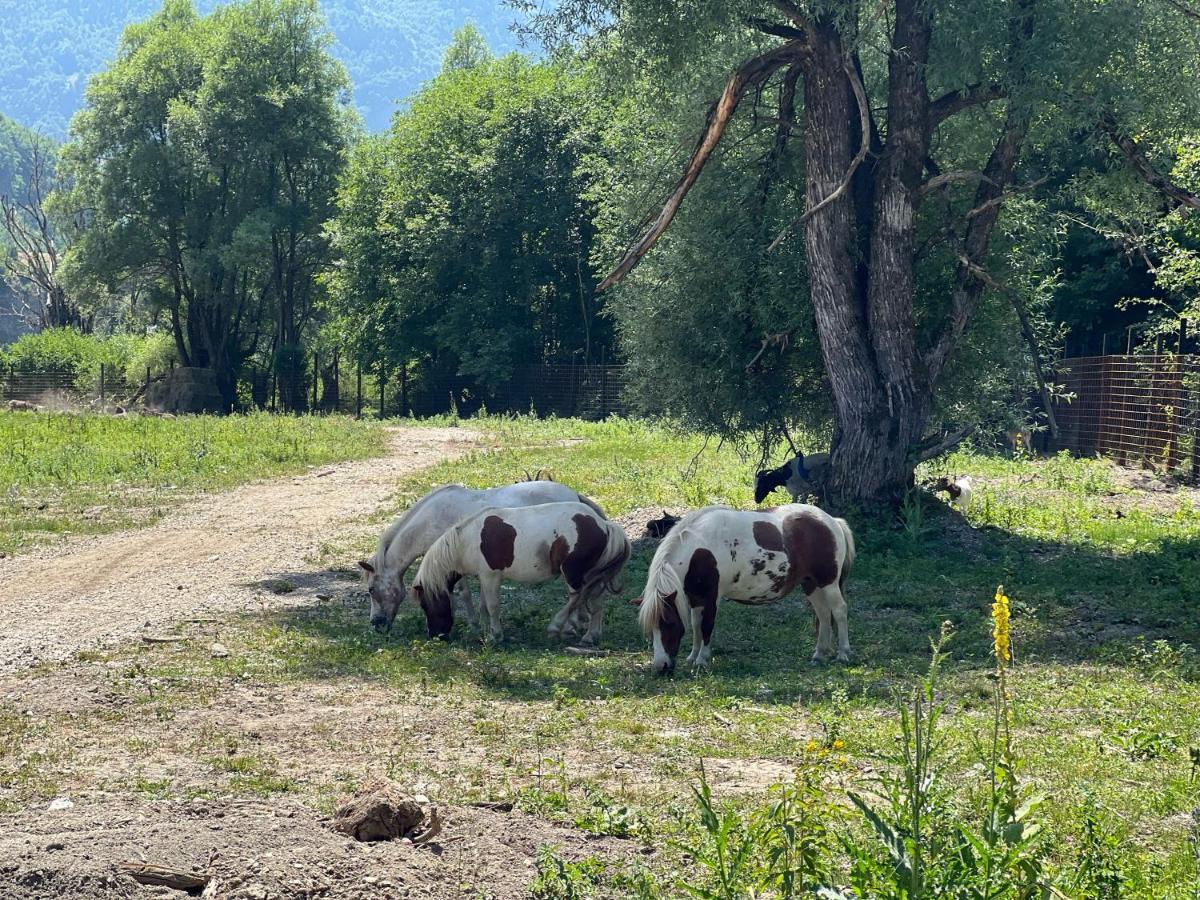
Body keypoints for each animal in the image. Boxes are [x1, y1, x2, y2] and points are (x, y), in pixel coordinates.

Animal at [352, 480, 600, 633]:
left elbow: (463, 593)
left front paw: (473, 624)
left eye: (371, 590)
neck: (431, 520)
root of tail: (573, 495)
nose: (376, 625)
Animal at [410, 501, 628, 648]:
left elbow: (493, 606)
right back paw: (590, 636)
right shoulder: (484, 577)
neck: (466, 540)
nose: (436, 635)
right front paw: (486, 632)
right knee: (596, 599)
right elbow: (484, 605)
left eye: (425, 605)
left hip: (572, 573)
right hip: (590, 574)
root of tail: (604, 525)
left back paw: (557, 627)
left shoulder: (491, 576)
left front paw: (496, 636)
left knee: (577, 597)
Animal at [638, 504, 854, 672]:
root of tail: (832, 521)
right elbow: (696, 626)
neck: (700, 550)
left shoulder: (712, 597)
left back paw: (843, 653)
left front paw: (702, 660)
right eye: (651, 629)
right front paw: (692, 656)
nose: (661, 667)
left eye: (669, 624)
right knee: (824, 614)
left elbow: (706, 626)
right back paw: (819, 654)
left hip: (828, 582)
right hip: (811, 584)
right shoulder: (695, 598)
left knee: (839, 611)